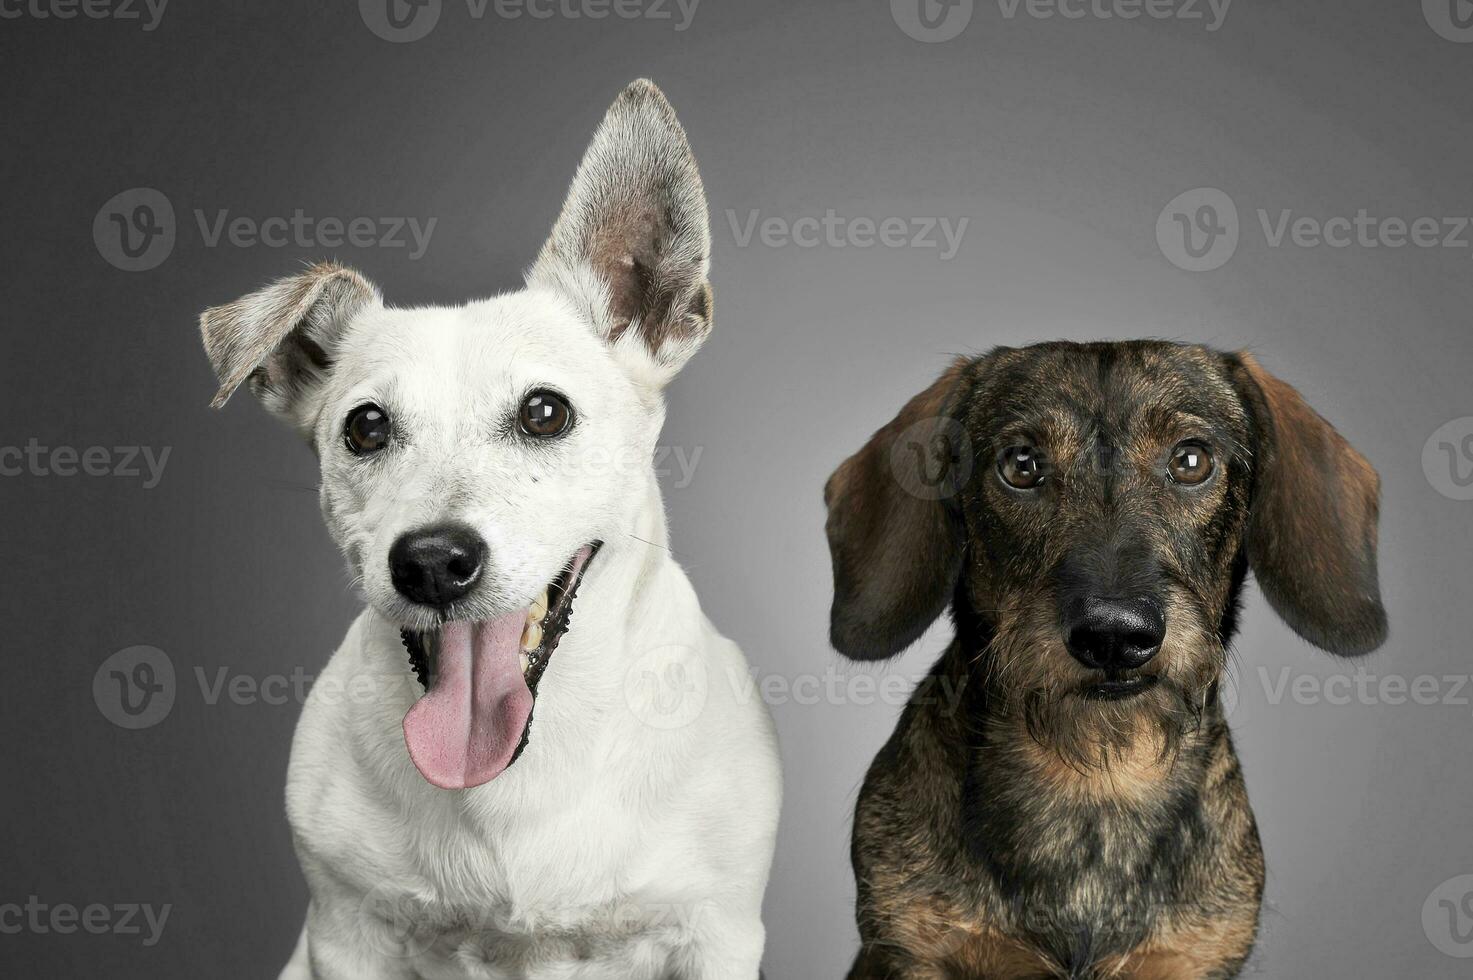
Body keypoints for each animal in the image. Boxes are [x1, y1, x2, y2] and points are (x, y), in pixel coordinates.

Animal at [203, 78, 789, 978]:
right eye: (364, 428)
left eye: (545, 412)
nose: (433, 561)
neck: (517, 771)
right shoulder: (344, 931)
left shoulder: (714, 932)